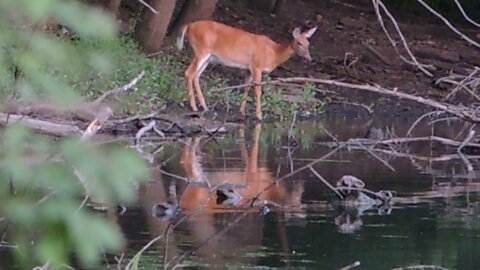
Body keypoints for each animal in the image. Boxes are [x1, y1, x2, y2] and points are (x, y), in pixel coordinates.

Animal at [178, 21, 316, 121]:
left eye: (308, 43)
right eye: (299, 43)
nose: (309, 58)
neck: (273, 53)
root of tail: (189, 26)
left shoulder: (248, 68)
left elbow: (246, 88)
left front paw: (242, 111)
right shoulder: (257, 66)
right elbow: (258, 91)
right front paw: (259, 115)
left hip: (208, 58)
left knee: (196, 76)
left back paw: (205, 106)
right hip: (201, 50)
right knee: (189, 73)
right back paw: (194, 107)